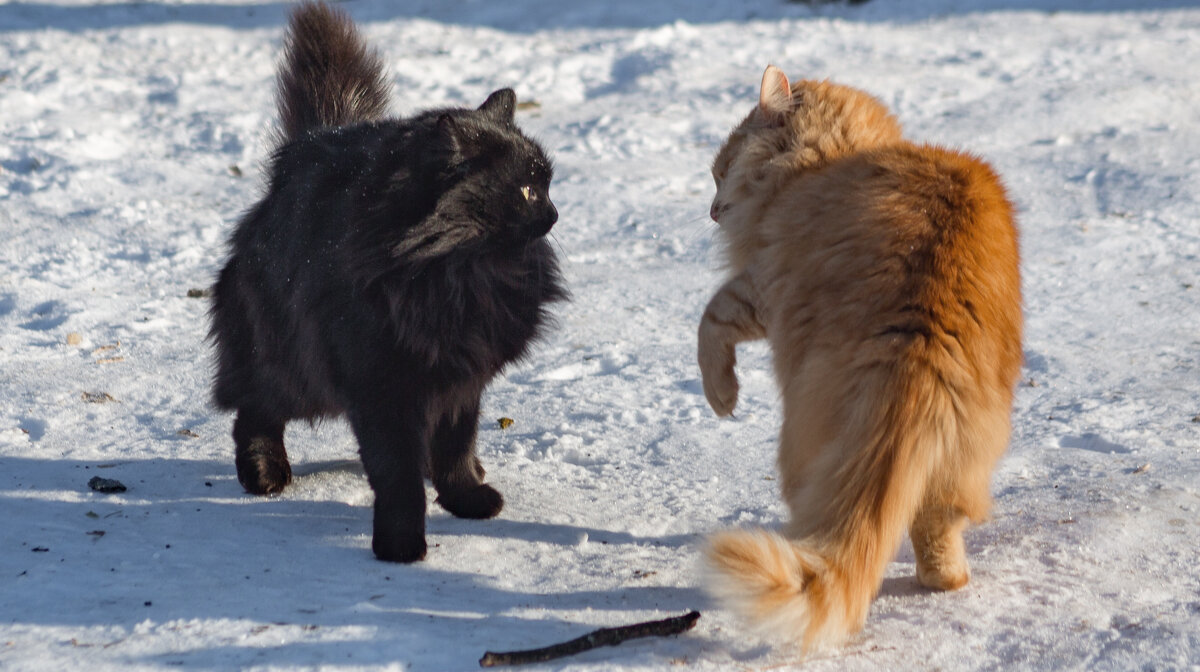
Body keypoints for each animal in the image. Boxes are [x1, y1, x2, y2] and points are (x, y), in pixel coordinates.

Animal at [208, 2, 564, 564]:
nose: (553, 213)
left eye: (547, 185)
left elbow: (457, 446)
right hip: (292, 363)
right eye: (528, 190)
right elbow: (397, 476)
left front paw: (466, 498)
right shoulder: (382, 384)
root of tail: (308, 146)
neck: (457, 275)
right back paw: (263, 473)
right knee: (253, 407)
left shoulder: (462, 376)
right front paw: (400, 544)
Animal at [700, 65, 1022, 648]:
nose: (712, 211)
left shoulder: (761, 285)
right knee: (940, 546)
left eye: (721, 172)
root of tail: (918, 341)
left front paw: (722, 395)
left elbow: (711, 320)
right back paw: (942, 578)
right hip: (963, 458)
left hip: (801, 436)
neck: (833, 157)